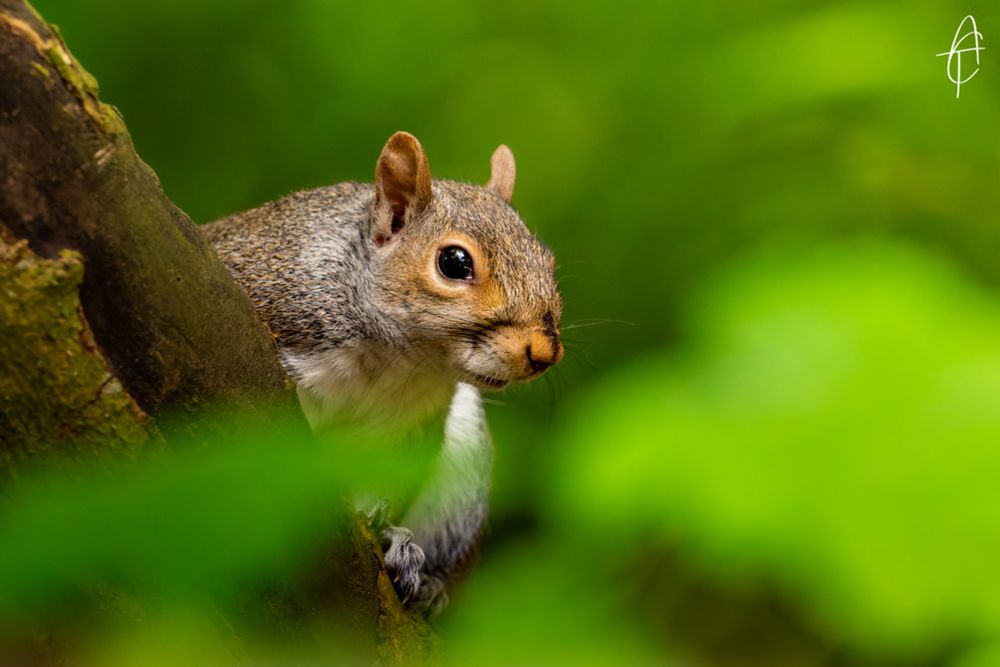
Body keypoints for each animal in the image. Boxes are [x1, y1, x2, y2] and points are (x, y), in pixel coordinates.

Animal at [203, 131, 563, 615]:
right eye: (454, 262)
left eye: (548, 261)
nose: (544, 352)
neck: (397, 360)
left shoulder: (406, 427)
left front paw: (393, 538)